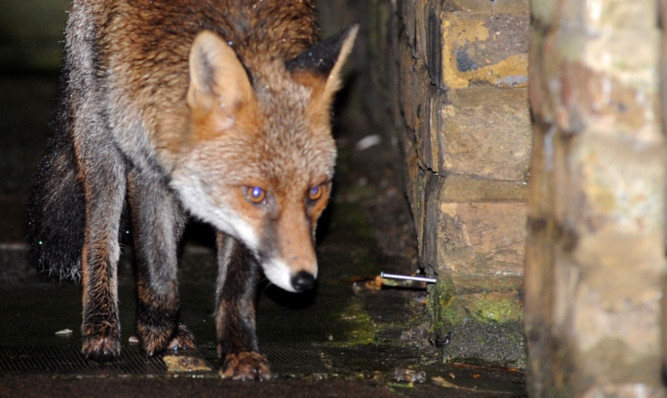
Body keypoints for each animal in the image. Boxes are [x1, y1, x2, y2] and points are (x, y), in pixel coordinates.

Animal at [28, 0, 358, 380]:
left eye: (315, 192)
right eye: (257, 193)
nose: (303, 280)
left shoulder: (231, 214)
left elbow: (235, 289)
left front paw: (240, 352)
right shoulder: (147, 169)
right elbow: (156, 268)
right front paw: (155, 328)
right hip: (101, 140)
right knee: (98, 238)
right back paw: (102, 326)